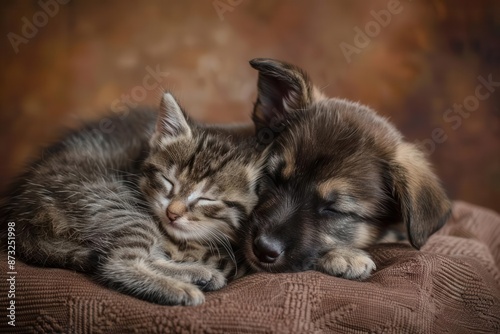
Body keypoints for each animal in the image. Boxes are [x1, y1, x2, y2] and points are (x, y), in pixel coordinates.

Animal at [0, 92, 264, 306]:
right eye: (168, 181)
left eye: (206, 199)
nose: (172, 213)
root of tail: (22, 213)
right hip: (109, 200)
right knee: (117, 262)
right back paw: (180, 288)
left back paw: (198, 273)